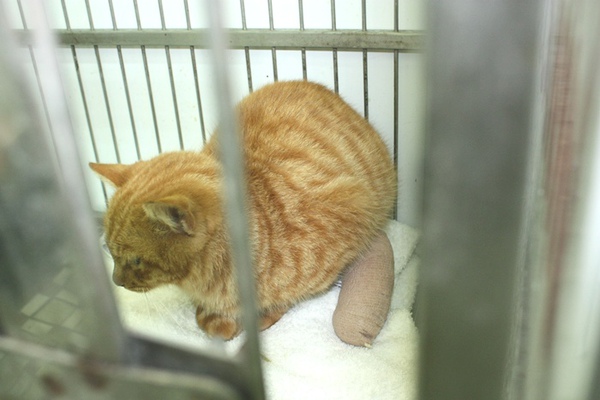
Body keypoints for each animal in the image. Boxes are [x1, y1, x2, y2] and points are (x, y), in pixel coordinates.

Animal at [90, 80, 397, 340]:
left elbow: (288, 296)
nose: (115, 280)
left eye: (136, 260)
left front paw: (259, 315)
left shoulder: (351, 212)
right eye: (108, 249)